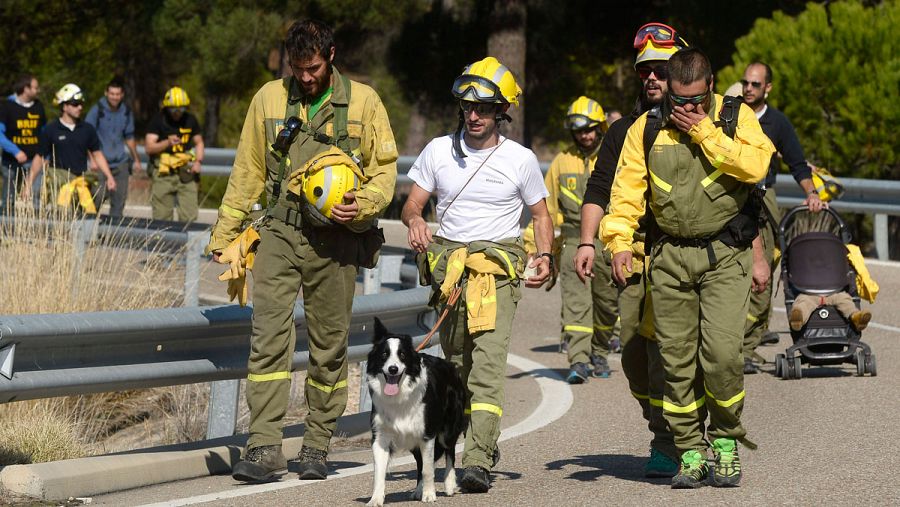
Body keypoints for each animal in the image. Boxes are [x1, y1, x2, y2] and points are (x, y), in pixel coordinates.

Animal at [364, 320, 464, 506]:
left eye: (402, 355)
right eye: (384, 354)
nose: (393, 369)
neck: (399, 397)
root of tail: (449, 366)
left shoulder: (427, 434)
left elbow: (428, 469)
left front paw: (430, 494)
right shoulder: (381, 436)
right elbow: (379, 473)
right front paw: (375, 499)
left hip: (447, 430)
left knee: (450, 452)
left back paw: (449, 484)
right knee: (420, 462)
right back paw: (418, 490)